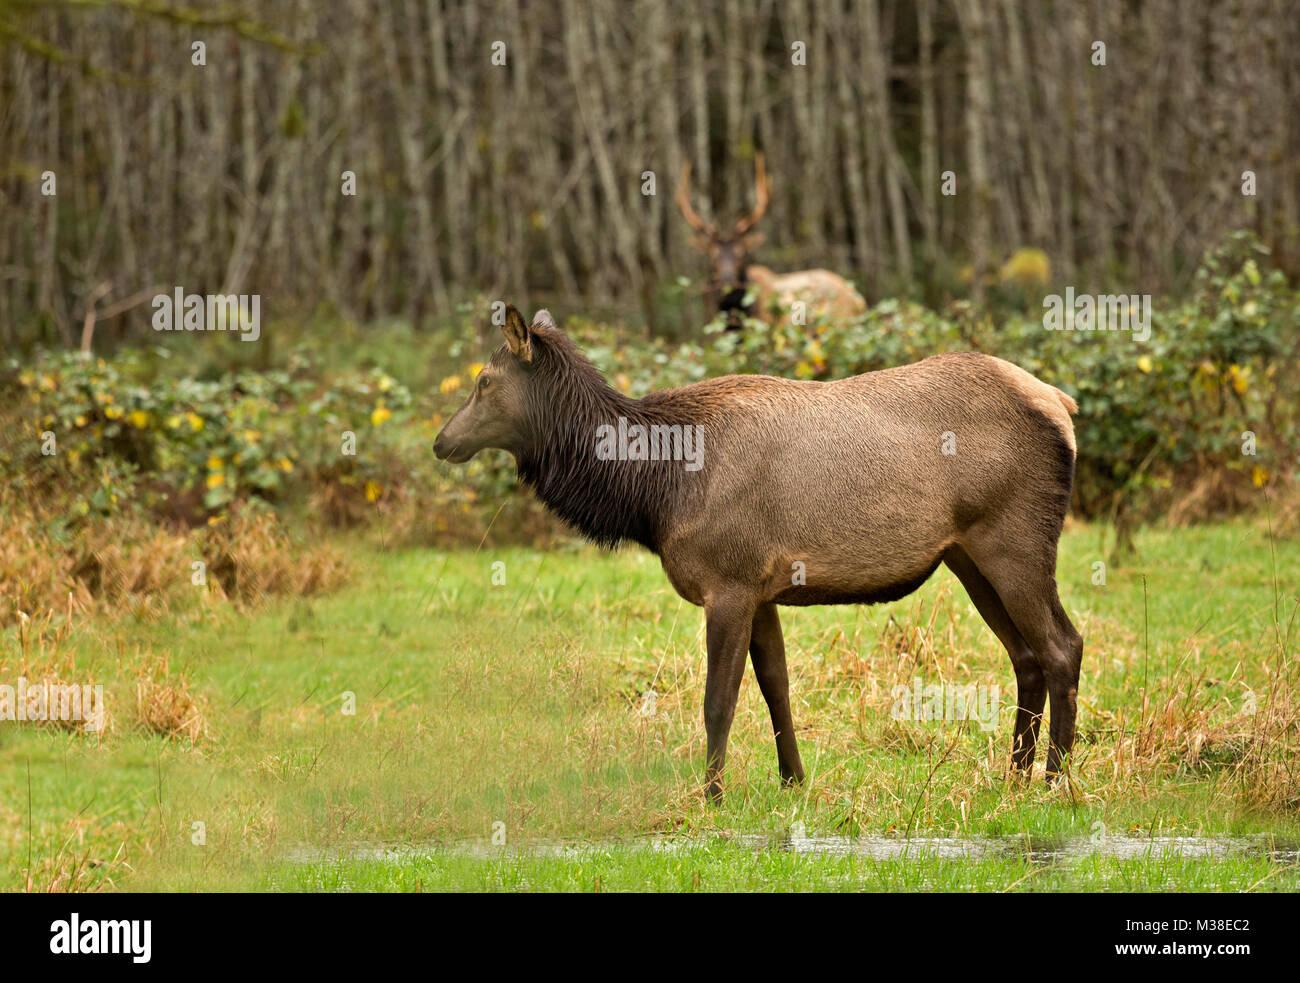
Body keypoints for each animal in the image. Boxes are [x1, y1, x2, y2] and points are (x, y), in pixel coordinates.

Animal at [436, 309, 1086, 806]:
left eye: (485, 380)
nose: (443, 440)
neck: (655, 491)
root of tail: (1062, 403)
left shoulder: (728, 581)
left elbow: (718, 700)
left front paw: (713, 797)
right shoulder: (762, 588)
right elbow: (777, 686)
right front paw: (794, 781)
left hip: (1015, 538)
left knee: (1063, 645)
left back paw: (1054, 782)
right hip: (967, 556)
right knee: (1025, 656)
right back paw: (1012, 777)